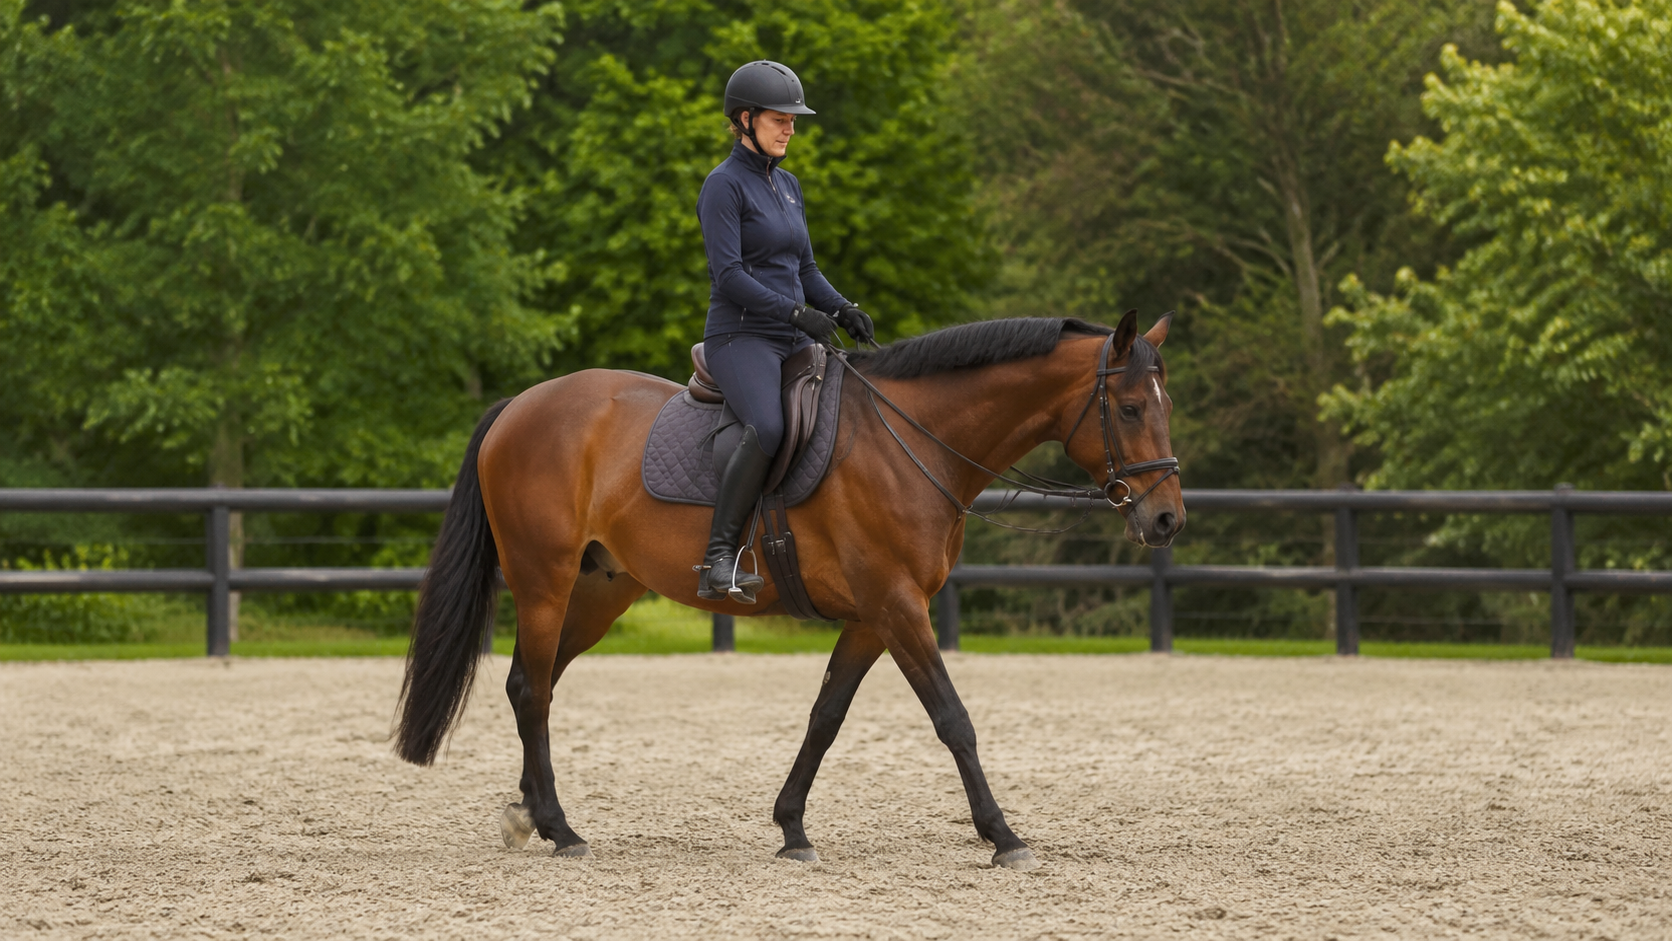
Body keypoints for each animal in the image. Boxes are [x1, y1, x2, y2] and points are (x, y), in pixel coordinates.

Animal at [394, 311, 1183, 870]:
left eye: (1163, 405)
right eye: (1131, 408)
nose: (1167, 519)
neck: (911, 442)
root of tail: (521, 406)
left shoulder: (872, 617)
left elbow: (825, 717)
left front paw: (792, 828)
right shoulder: (899, 606)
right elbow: (953, 718)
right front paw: (1003, 835)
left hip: (595, 593)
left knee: (534, 683)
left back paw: (530, 814)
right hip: (544, 582)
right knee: (532, 690)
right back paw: (561, 828)